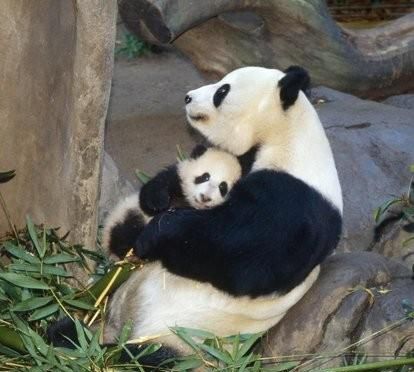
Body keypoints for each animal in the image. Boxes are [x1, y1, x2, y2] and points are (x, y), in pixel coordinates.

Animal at [104, 66, 342, 358]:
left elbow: (236, 256)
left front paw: (156, 234)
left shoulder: (292, 203)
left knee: (147, 356)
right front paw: (156, 202)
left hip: (183, 338)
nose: (188, 97)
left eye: (222, 91)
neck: (288, 137)